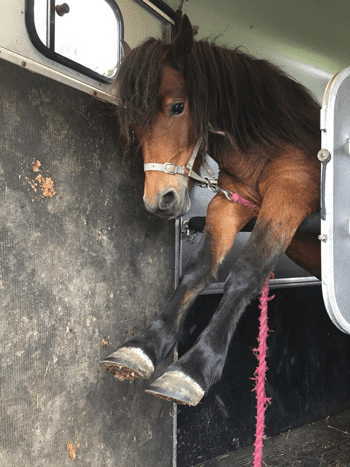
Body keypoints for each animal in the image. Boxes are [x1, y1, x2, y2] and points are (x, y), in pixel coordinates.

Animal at [100, 15, 320, 406]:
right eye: (133, 121)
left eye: (177, 106)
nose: (160, 199)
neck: (273, 141)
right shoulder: (231, 202)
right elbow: (197, 272)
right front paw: (145, 345)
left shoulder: (289, 192)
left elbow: (247, 272)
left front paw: (195, 367)